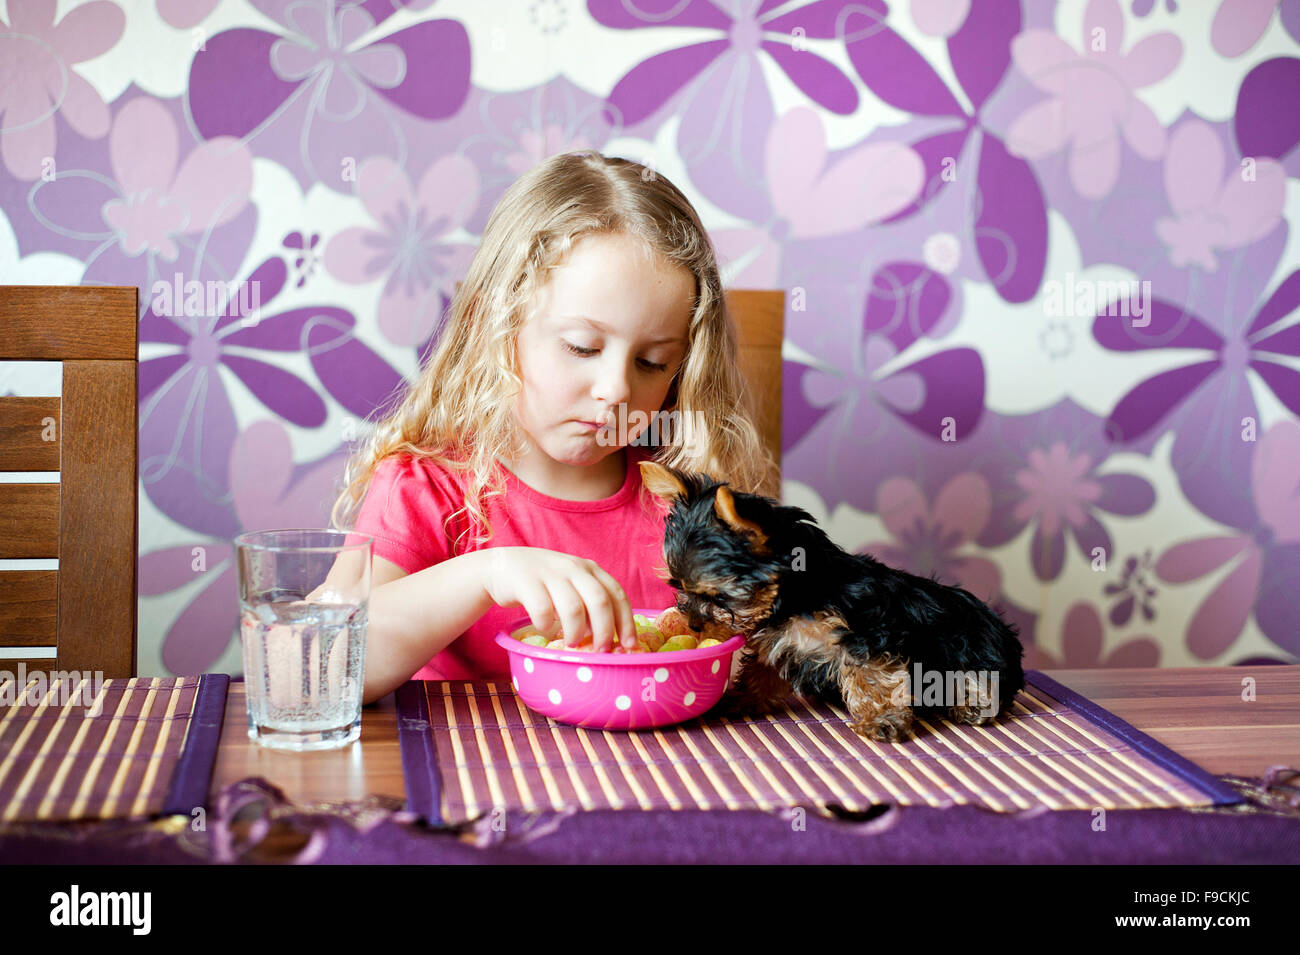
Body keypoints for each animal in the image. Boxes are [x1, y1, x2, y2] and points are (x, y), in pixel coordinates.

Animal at [639, 462, 1024, 738]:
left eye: (718, 596)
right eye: (677, 585)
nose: (693, 624)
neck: (795, 598)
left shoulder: (866, 633)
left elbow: (873, 676)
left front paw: (882, 719)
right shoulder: (780, 641)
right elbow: (762, 668)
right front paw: (742, 698)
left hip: (973, 650)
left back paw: (970, 703)